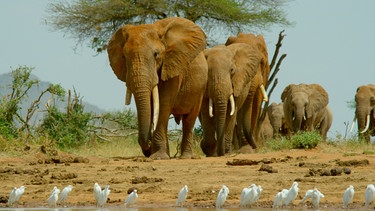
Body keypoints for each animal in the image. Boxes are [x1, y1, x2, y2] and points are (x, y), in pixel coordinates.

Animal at [107, 17, 209, 159]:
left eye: (156, 54)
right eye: (124, 57)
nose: (148, 145)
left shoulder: (172, 65)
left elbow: (163, 103)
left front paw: (158, 157)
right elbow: (152, 105)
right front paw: (158, 154)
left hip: (201, 88)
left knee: (189, 120)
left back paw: (186, 157)